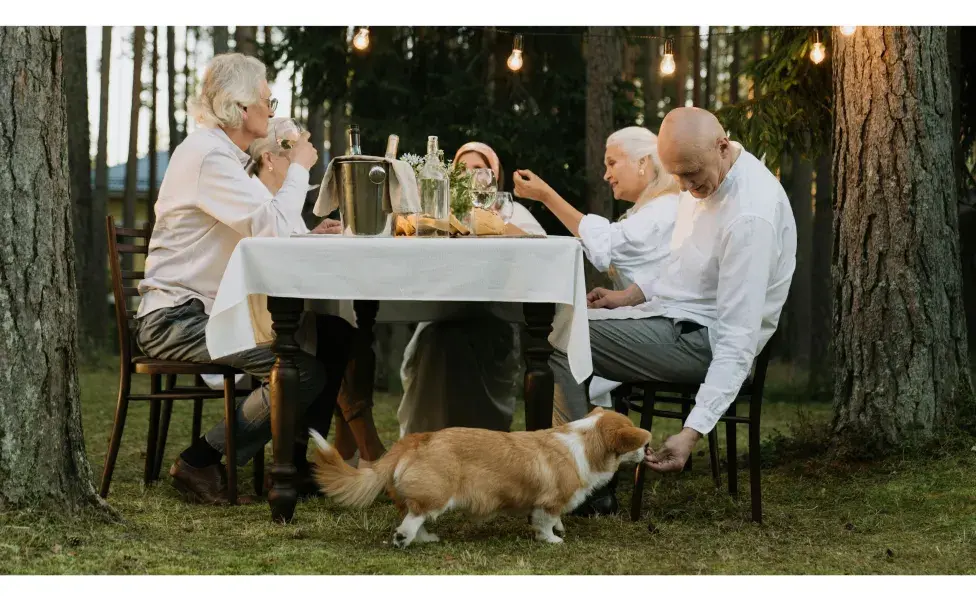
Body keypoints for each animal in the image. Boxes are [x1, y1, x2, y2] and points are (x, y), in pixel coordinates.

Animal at [308, 408, 652, 548]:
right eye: (637, 445)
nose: (649, 452)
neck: (585, 441)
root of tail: (417, 440)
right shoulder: (547, 502)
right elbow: (544, 522)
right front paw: (553, 540)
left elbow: (554, 520)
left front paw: (558, 530)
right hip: (437, 493)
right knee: (412, 519)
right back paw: (404, 540)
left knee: (413, 516)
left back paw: (425, 538)